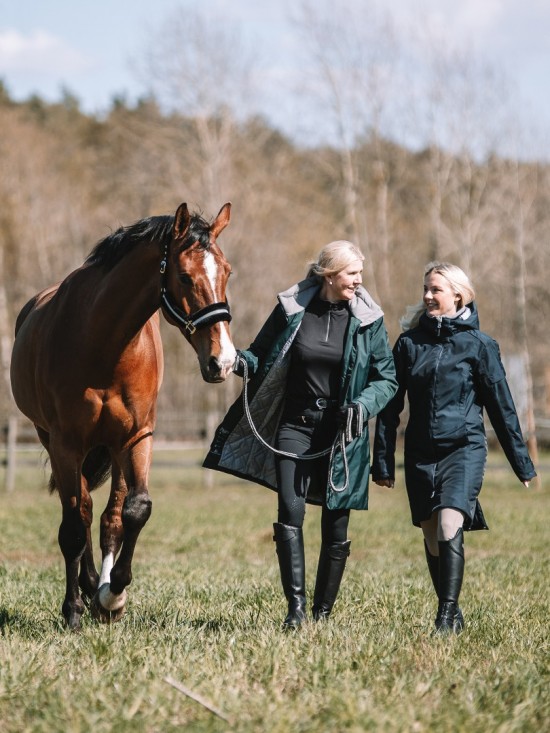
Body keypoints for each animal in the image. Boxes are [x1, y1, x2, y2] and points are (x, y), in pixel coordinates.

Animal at [10, 202, 236, 630]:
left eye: (227, 272)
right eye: (185, 276)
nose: (224, 360)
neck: (103, 344)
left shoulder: (137, 437)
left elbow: (134, 510)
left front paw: (113, 595)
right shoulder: (65, 443)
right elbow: (73, 526)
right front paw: (74, 609)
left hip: (114, 450)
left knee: (108, 517)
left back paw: (101, 590)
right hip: (55, 440)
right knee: (80, 511)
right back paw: (86, 588)